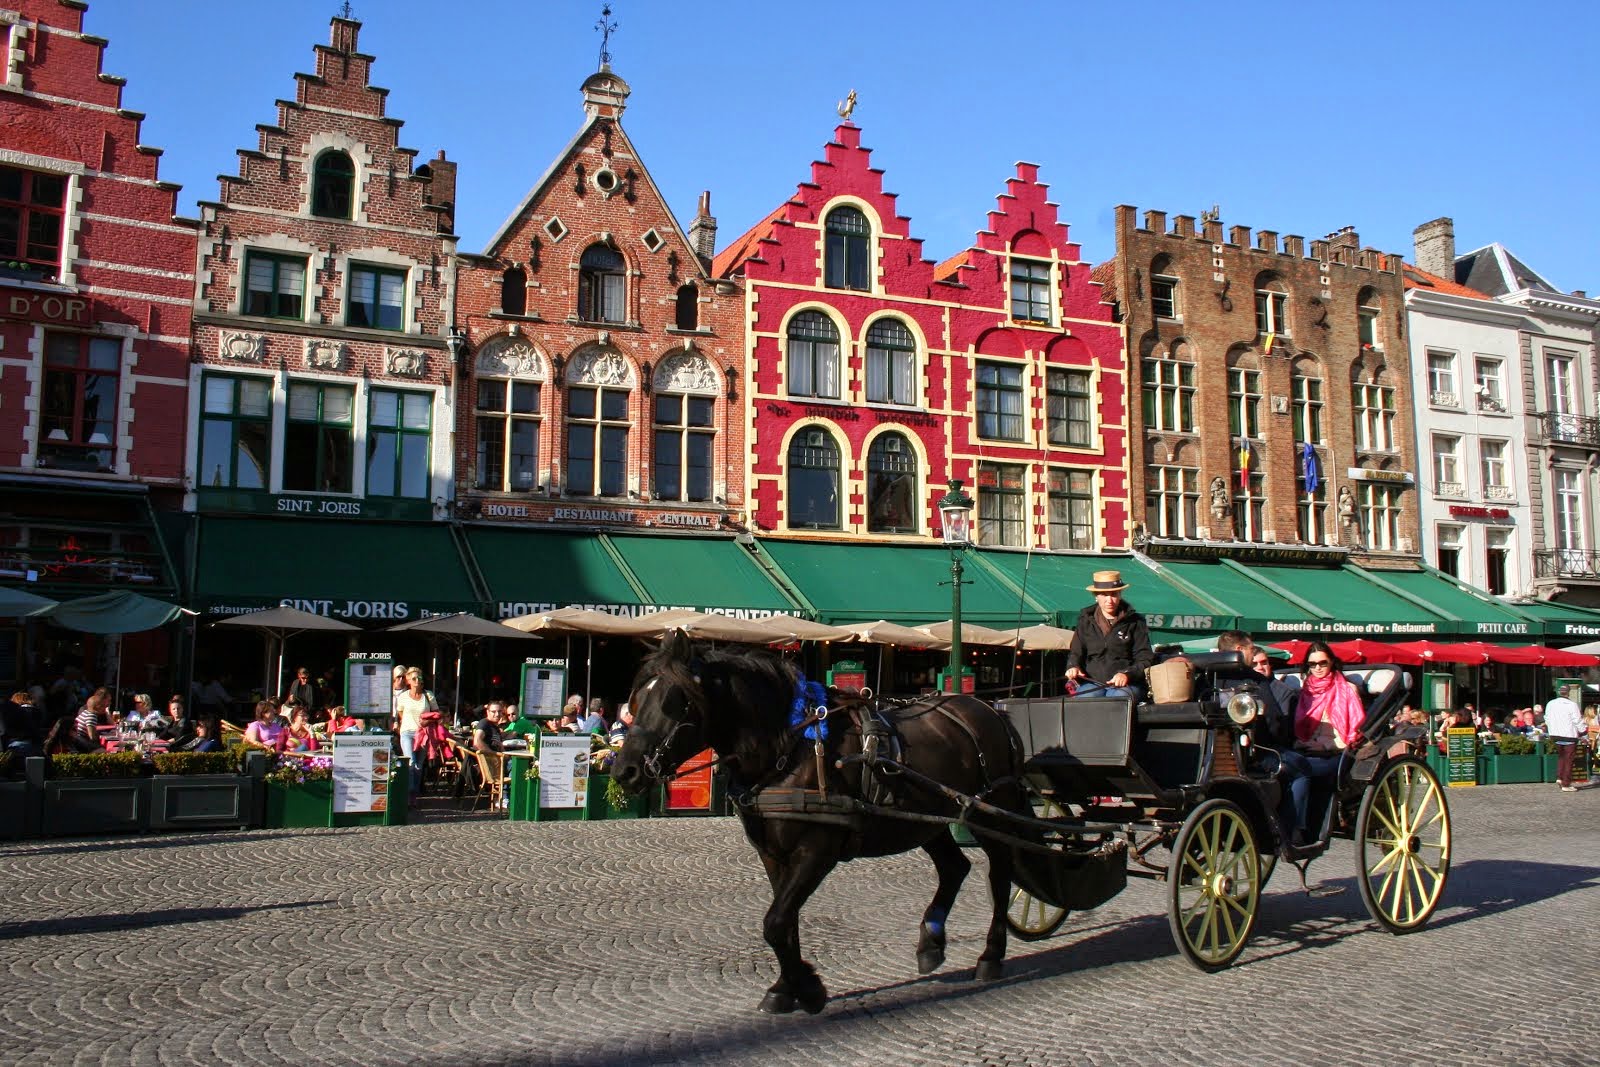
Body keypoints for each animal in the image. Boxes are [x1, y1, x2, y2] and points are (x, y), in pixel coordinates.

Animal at [611, 633, 1036, 1017]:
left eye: (674, 702)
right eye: (636, 699)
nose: (623, 770)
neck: (788, 749)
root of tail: (990, 710)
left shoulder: (818, 851)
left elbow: (775, 922)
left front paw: (809, 990)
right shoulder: (772, 855)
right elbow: (786, 923)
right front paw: (785, 989)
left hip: (988, 812)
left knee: (999, 873)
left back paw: (990, 955)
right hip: (926, 821)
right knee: (955, 868)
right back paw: (931, 942)